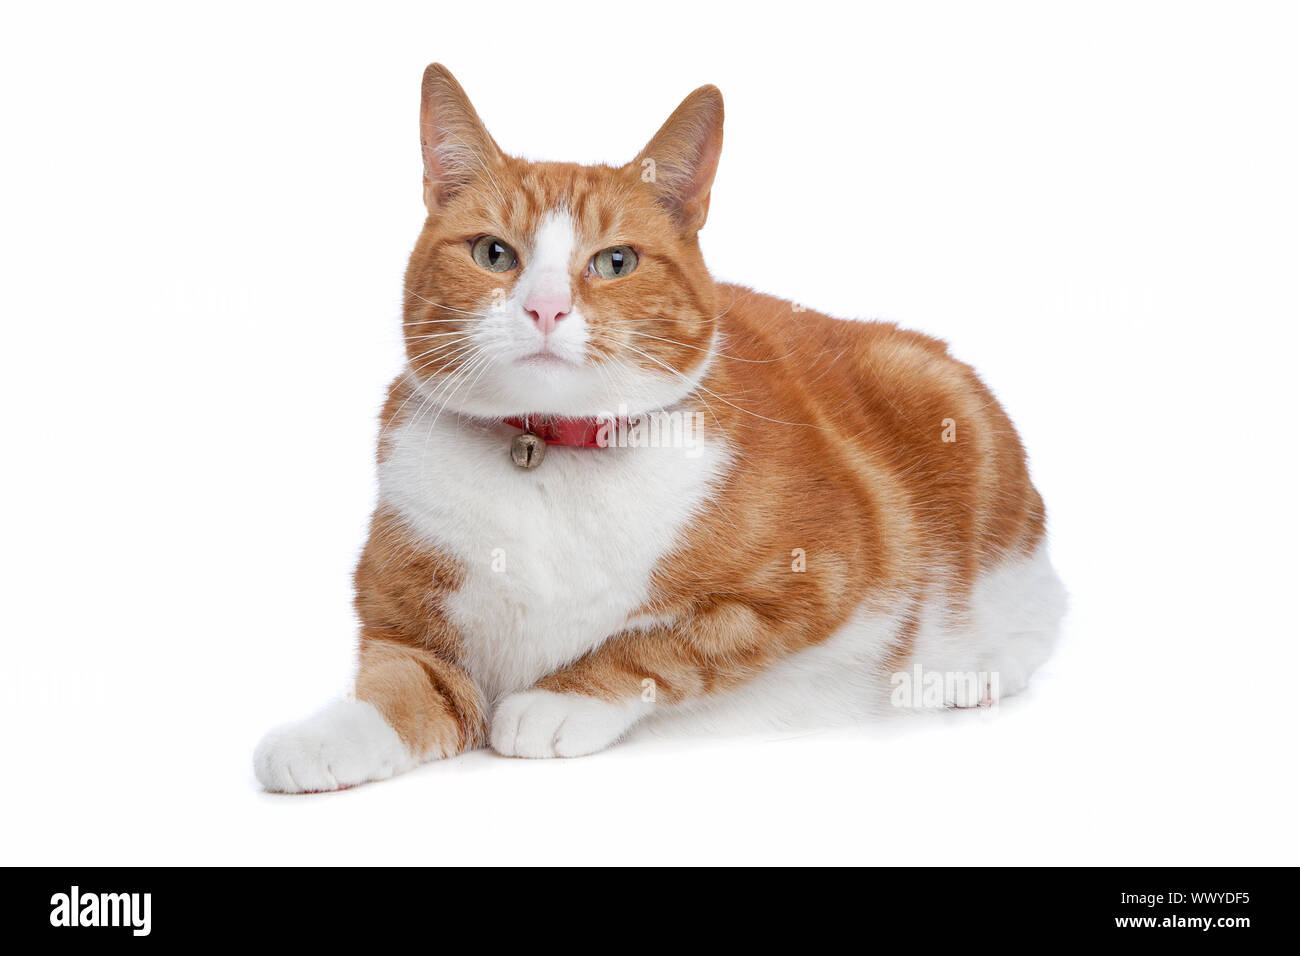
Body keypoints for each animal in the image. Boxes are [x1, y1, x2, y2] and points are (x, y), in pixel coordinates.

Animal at [253, 65, 1066, 790]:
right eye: (494, 253)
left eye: (615, 262)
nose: (545, 308)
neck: (550, 454)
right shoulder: (408, 631)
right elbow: (394, 688)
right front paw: (318, 738)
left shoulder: (812, 579)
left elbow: (666, 643)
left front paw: (558, 700)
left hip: (948, 420)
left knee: (1039, 611)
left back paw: (969, 673)